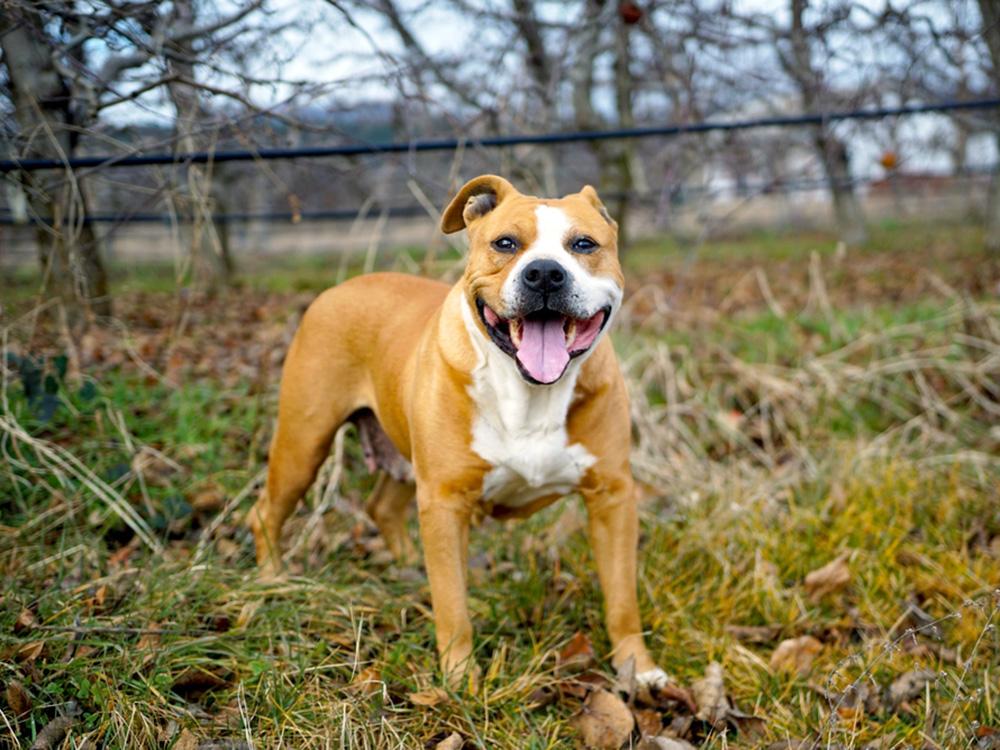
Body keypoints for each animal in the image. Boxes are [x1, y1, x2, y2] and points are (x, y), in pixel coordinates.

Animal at [252, 176, 664, 692]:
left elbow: (622, 597)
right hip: (303, 443)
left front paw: (638, 668)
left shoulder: (612, 497)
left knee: (382, 507)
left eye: (584, 245)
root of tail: (340, 288)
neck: (531, 392)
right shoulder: (445, 501)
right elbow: (452, 604)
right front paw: (460, 680)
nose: (545, 274)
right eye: (505, 244)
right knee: (266, 512)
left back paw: (408, 565)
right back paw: (271, 581)